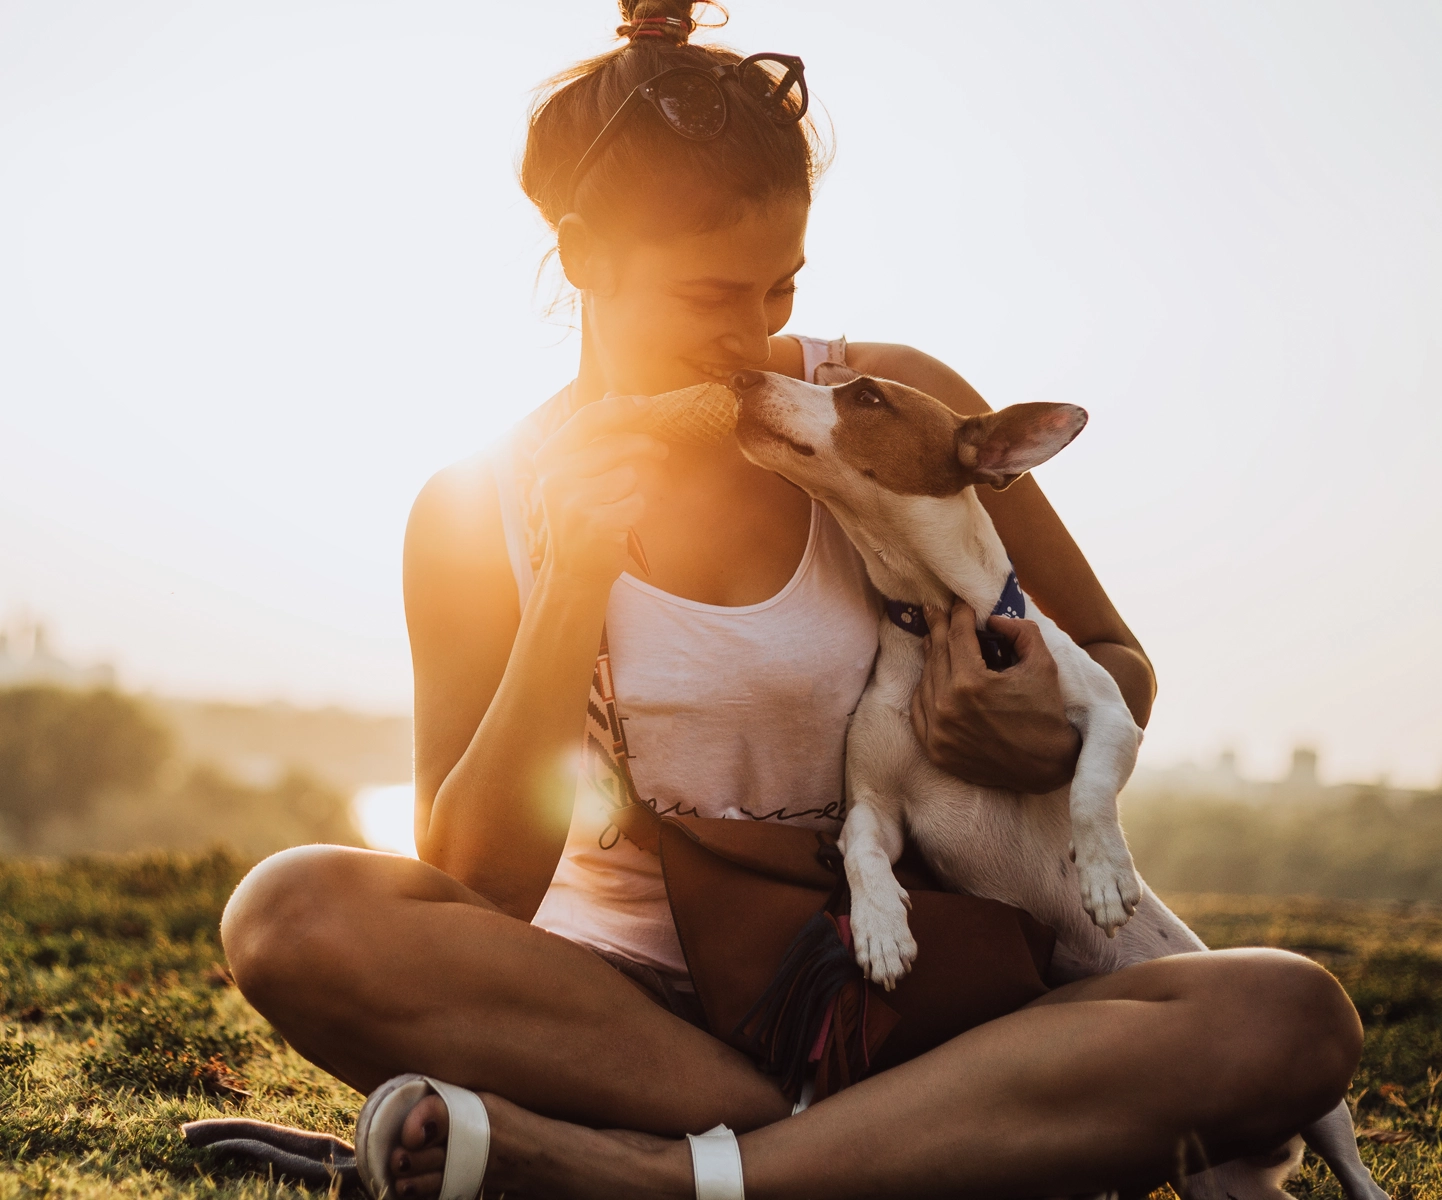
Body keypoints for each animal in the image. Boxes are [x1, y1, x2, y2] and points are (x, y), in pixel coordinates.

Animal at [732, 366, 1384, 1200]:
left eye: (867, 395)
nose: (745, 375)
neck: (942, 618)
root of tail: (1268, 1161)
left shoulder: (1108, 718)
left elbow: (1088, 793)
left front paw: (1104, 877)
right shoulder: (875, 806)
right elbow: (862, 852)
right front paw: (880, 930)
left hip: (1332, 1117)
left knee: (1358, 1173)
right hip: (1210, 1178)